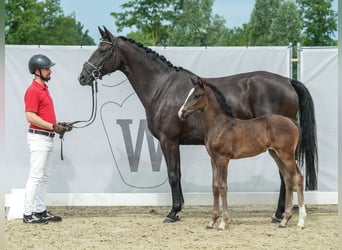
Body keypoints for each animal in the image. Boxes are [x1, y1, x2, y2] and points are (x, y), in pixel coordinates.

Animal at [178, 76, 306, 230]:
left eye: (197, 95)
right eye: (189, 94)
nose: (182, 113)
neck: (219, 125)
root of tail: (292, 122)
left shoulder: (223, 159)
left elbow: (222, 187)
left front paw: (223, 222)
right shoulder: (213, 160)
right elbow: (214, 187)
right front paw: (211, 221)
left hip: (287, 155)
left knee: (298, 177)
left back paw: (301, 222)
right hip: (275, 154)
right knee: (287, 179)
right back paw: (284, 220)